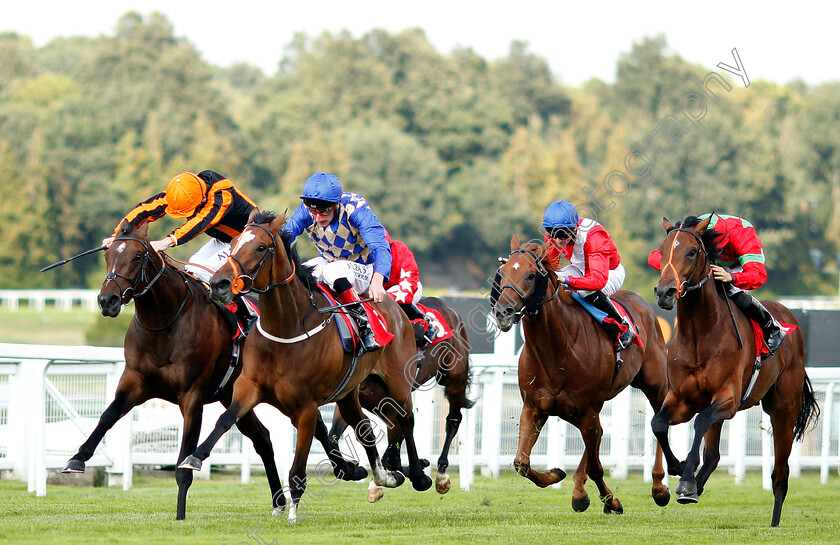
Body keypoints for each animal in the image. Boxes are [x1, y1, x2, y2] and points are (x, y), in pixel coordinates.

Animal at [61, 220, 286, 520]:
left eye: (137, 256)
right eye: (107, 255)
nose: (107, 300)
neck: (164, 323)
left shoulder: (192, 397)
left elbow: (184, 463)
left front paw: (180, 515)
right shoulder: (134, 383)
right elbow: (107, 416)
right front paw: (77, 459)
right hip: (233, 395)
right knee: (263, 438)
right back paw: (279, 502)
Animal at [180, 209, 434, 524]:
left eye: (261, 247)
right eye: (235, 242)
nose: (219, 284)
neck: (286, 329)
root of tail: (394, 305)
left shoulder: (306, 407)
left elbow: (298, 469)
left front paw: (292, 514)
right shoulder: (249, 387)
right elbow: (225, 419)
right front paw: (194, 457)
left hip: (398, 383)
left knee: (405, 419)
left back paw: (419, 476)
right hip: (350, 392)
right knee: (364, 427)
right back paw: (385, 476)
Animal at [326, 298, 472, 502]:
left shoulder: (390, 401)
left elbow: (394, 443)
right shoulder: (355, 399)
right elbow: (334, 436)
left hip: (455, 379)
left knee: (453, 420)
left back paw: (442, 473)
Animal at [492, 236, 668, 512]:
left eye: (531, 275)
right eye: (502, 273)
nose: (503, 312)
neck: (558, 349)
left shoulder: (587, 411)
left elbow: (596, 468)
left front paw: (612, 501)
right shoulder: (535, 407)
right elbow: (521, 462)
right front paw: (556, 475)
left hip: (654, 384)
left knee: (657, 421)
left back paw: (659, 487)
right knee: (598, 437)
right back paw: (578, 489)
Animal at [648, 217, 820, 528]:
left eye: (692, 251)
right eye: (662, 249)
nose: (664, 292)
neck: (700, 335)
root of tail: (790, 318)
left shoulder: (727, 399)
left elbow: (700, 422)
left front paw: (686, 478)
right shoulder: (682, 399)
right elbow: (659, 423)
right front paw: (679, 469)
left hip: (783, 410)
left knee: (780, 474)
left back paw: (774, 522)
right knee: (713, 454)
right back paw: (696, 484)